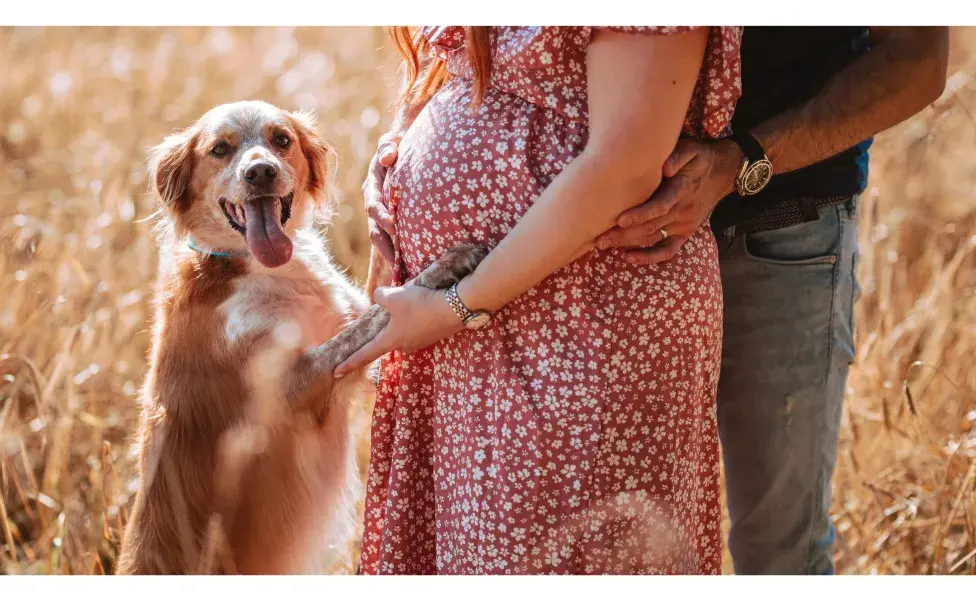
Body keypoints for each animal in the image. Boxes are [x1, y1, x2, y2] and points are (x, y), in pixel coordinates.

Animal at [115, 103, 484, 576]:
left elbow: (379, 290)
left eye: (281, 139)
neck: (251, 266)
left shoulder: (350, 322)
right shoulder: (296, 388)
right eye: (220, 149)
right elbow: (383, 312)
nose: (261, 172)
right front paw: (447, 264)